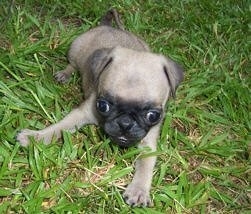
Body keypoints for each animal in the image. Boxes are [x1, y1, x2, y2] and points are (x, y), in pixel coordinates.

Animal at [16, 9, 183, 206]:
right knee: (72, 64)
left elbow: (146, 164)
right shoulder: (82, 113)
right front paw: (35, 137)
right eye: (103, 106)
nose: (125, 123)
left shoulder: (148, 140)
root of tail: (107, 26)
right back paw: (65, 74)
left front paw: (139, 190)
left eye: (153, 115)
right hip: (75, 50)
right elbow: (58, 127)